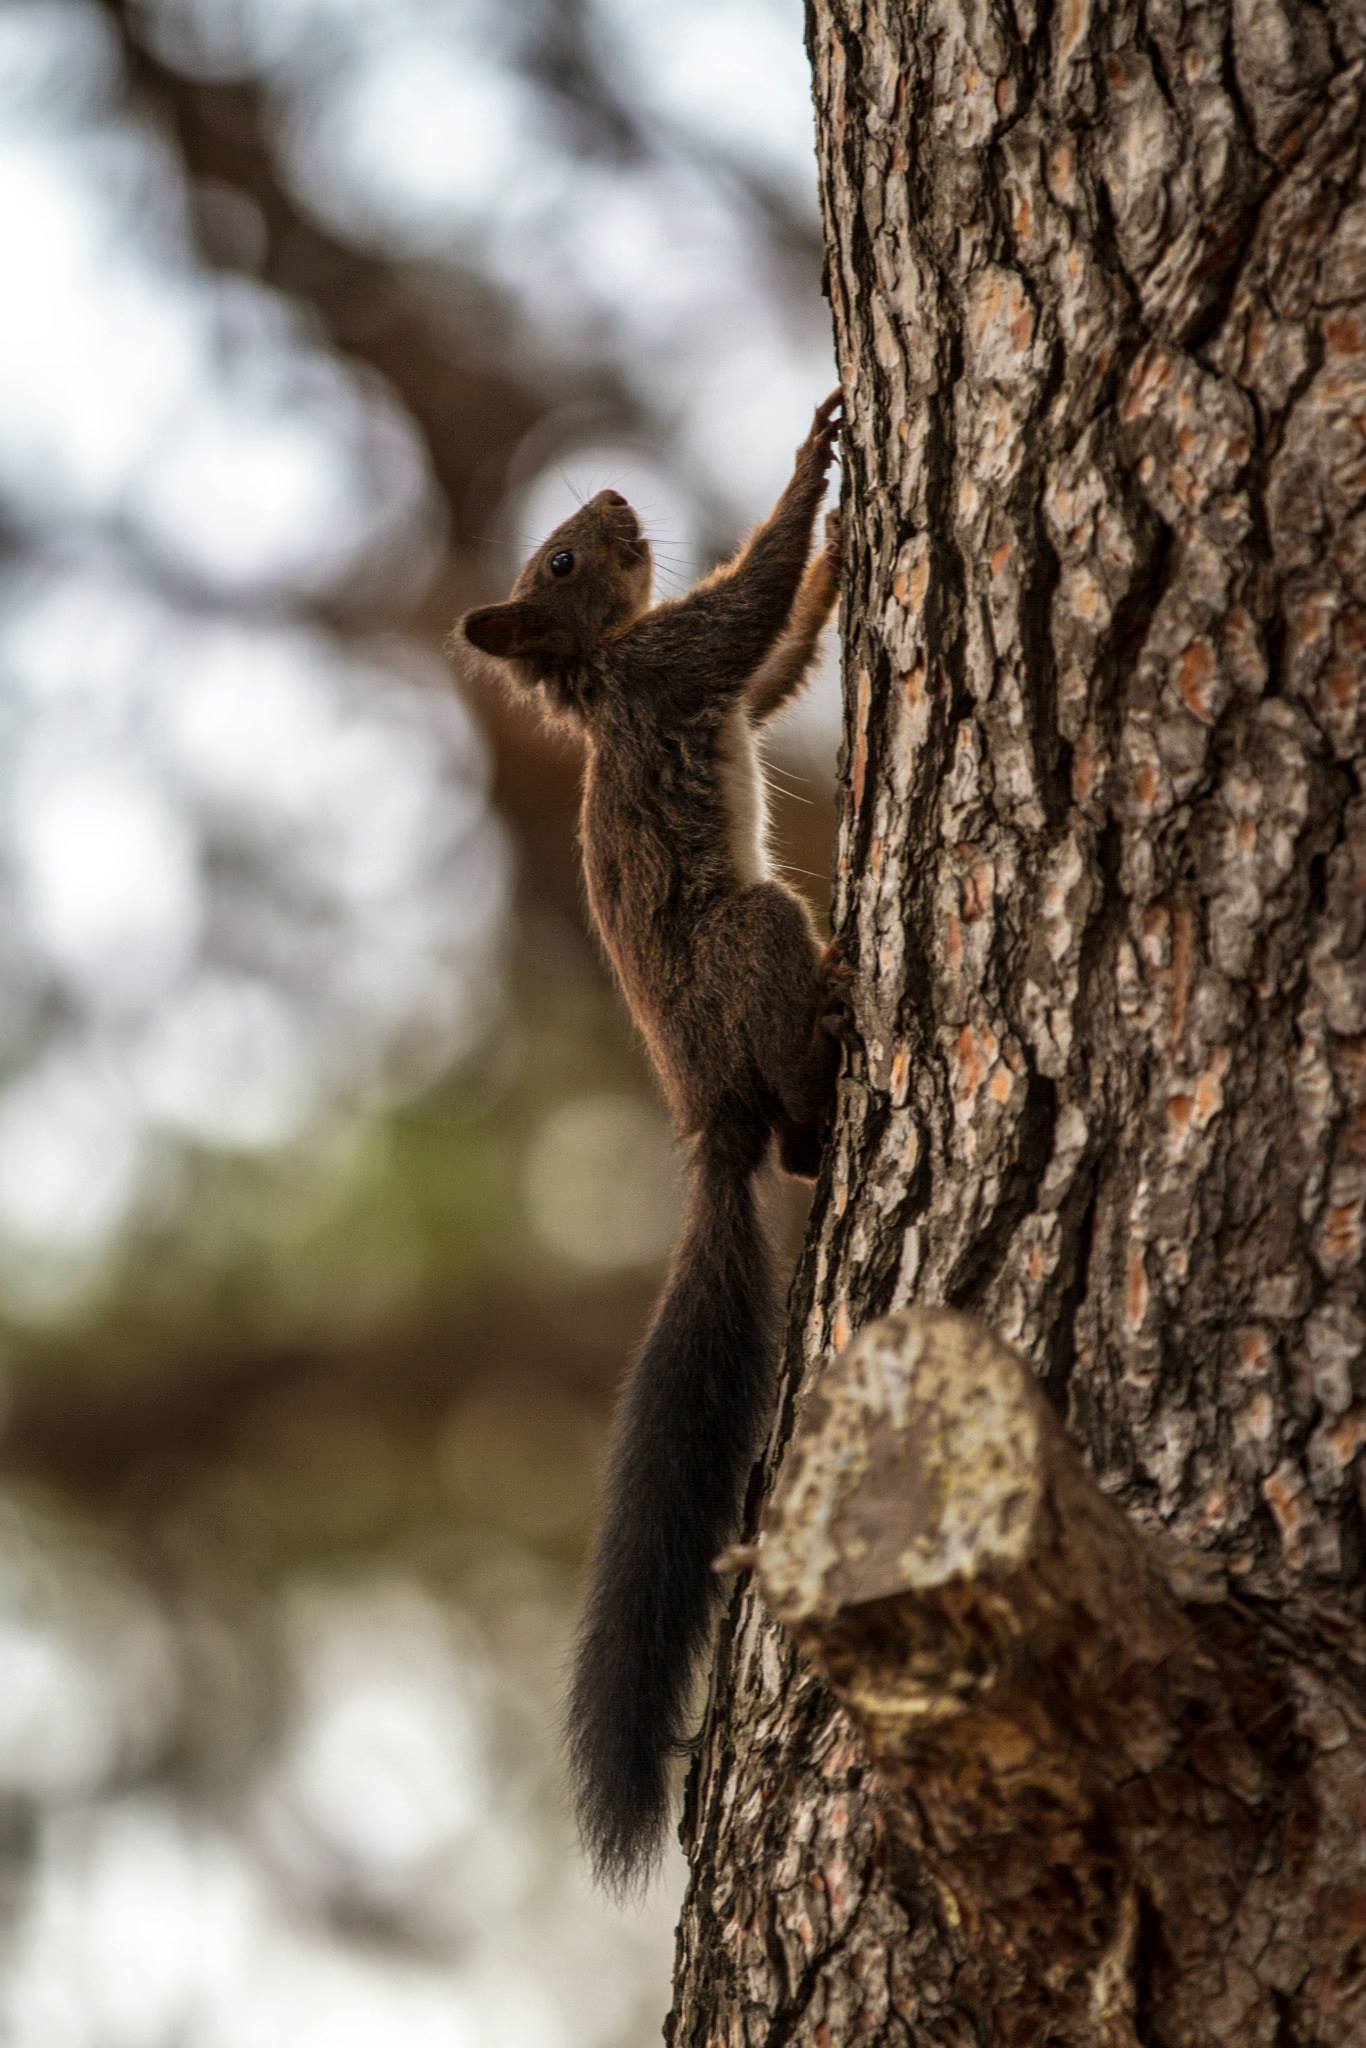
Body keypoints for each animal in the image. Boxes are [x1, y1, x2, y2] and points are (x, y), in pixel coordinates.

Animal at [456, 391, 848, 1892]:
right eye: (562, 562)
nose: (615, 497)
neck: (596, 673)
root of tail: (708, 1126)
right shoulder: (675, 664)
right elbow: (744, 613)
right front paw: (814, 468)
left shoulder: (701, 683)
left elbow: (778, 664)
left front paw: (847, 550)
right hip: (753, 939)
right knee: (794, 1126)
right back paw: (835, 1029)